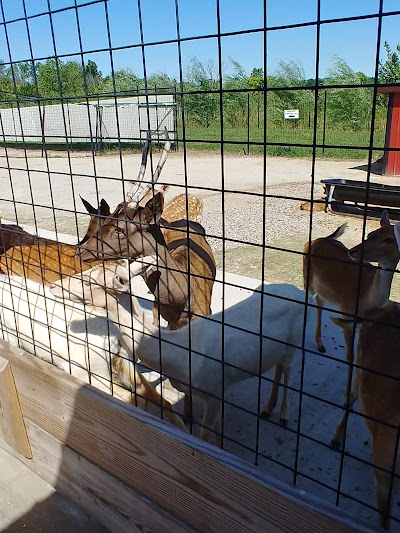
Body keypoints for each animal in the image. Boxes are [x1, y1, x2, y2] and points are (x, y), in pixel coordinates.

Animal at [304, 210, 398, 438]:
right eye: (371, 233)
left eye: (389, 239)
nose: (354, 251)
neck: (367, 300)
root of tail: (318, 239)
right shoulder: (347, 316)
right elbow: (349, 356)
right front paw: (347, 393)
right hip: (307, 279)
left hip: (324, 290)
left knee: (319, 302)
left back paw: (320, 344)